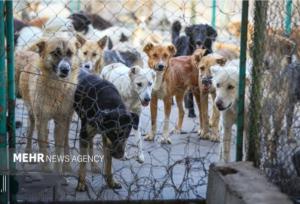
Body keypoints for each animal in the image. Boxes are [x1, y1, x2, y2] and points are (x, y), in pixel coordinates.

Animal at [16, 35, 83, 172]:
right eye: (55, 53)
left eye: (70, 53)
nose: (65, 69)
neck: (56, 87)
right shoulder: (41, 119)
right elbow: (42, 144)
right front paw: (46, 169)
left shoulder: (61, 121)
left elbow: (59, 148)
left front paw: (57, 171)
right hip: (32, 113)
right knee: (31, 132)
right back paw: (28, 153)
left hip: (67, 119)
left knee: (66, 140)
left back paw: (66, 165)